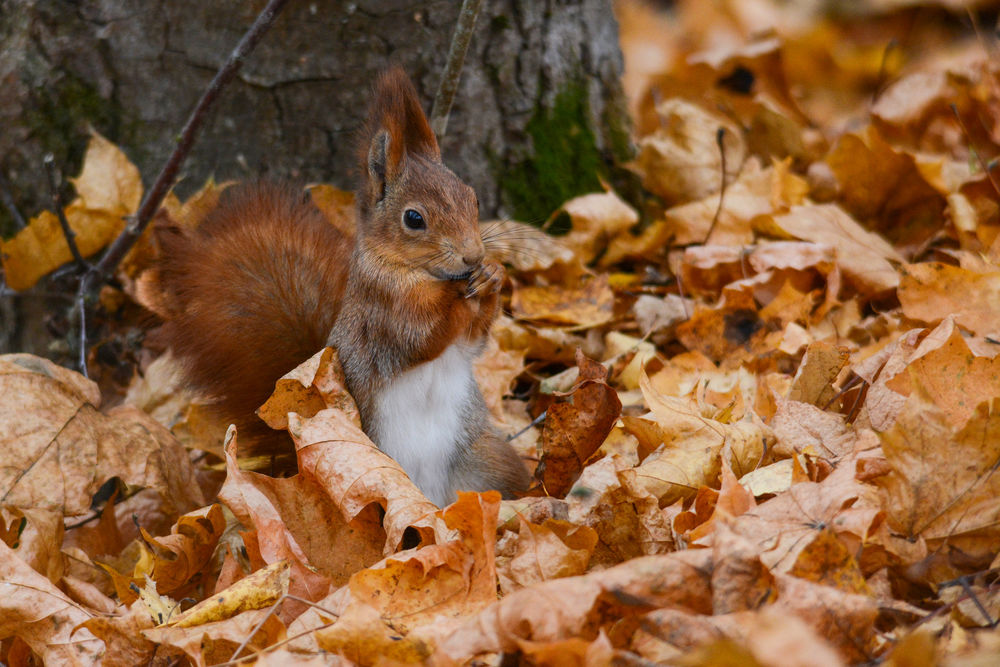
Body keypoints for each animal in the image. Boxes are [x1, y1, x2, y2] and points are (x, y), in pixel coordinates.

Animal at [153, 68, 530, 507]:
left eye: (473, 198)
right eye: (414, 219)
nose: (472, 256)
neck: (422, 274)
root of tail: (430, 503)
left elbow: (473, 342)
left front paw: (493, 275)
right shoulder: (382, 312)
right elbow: (421, 337)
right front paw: (457, 295)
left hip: (485, 460)